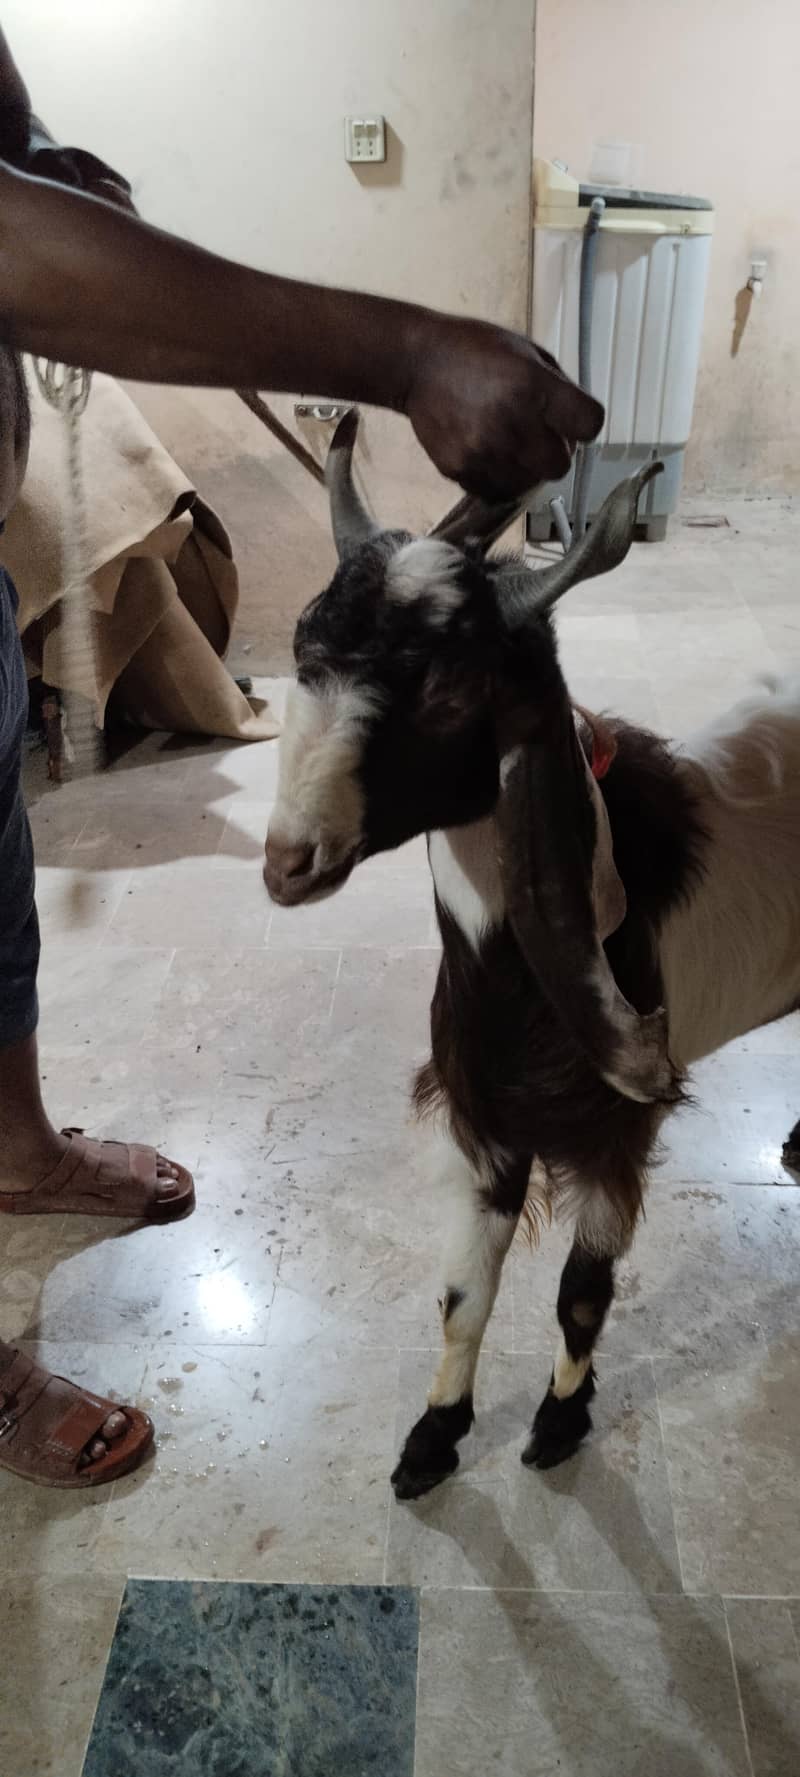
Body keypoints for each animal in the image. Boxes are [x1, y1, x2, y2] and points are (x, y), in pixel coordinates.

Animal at [264, 412, 800, 1501]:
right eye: (302, 644)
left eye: (449, 685)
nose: (288, 860)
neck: (516, 989)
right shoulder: (484, 1127)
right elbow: (464, 1293)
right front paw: (431, 1440)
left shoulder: (614, 1132)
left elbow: (580, 1293)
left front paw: (558, 1422)